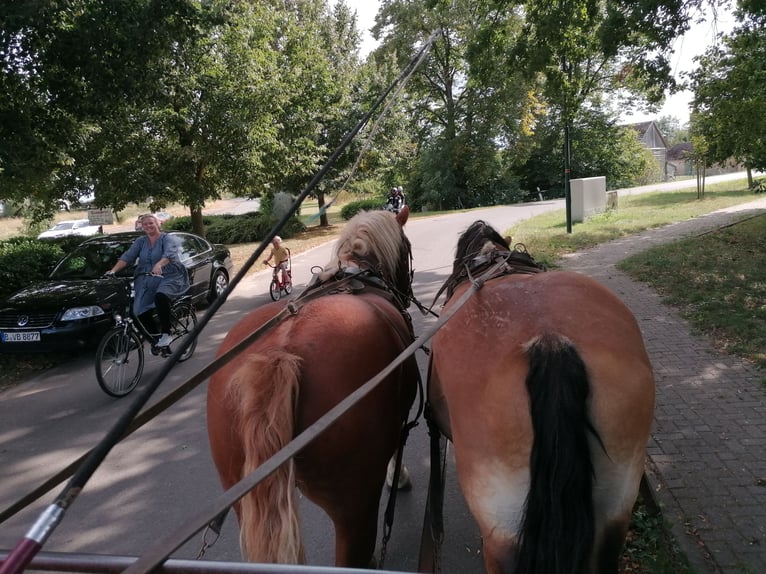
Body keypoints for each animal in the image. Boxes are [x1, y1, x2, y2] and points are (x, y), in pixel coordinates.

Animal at [206, 207, 420, 568]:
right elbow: (396, 450)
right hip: (354, 506)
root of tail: (281, 353)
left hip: (240, 495)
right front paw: (399, 475)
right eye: (407, 249)